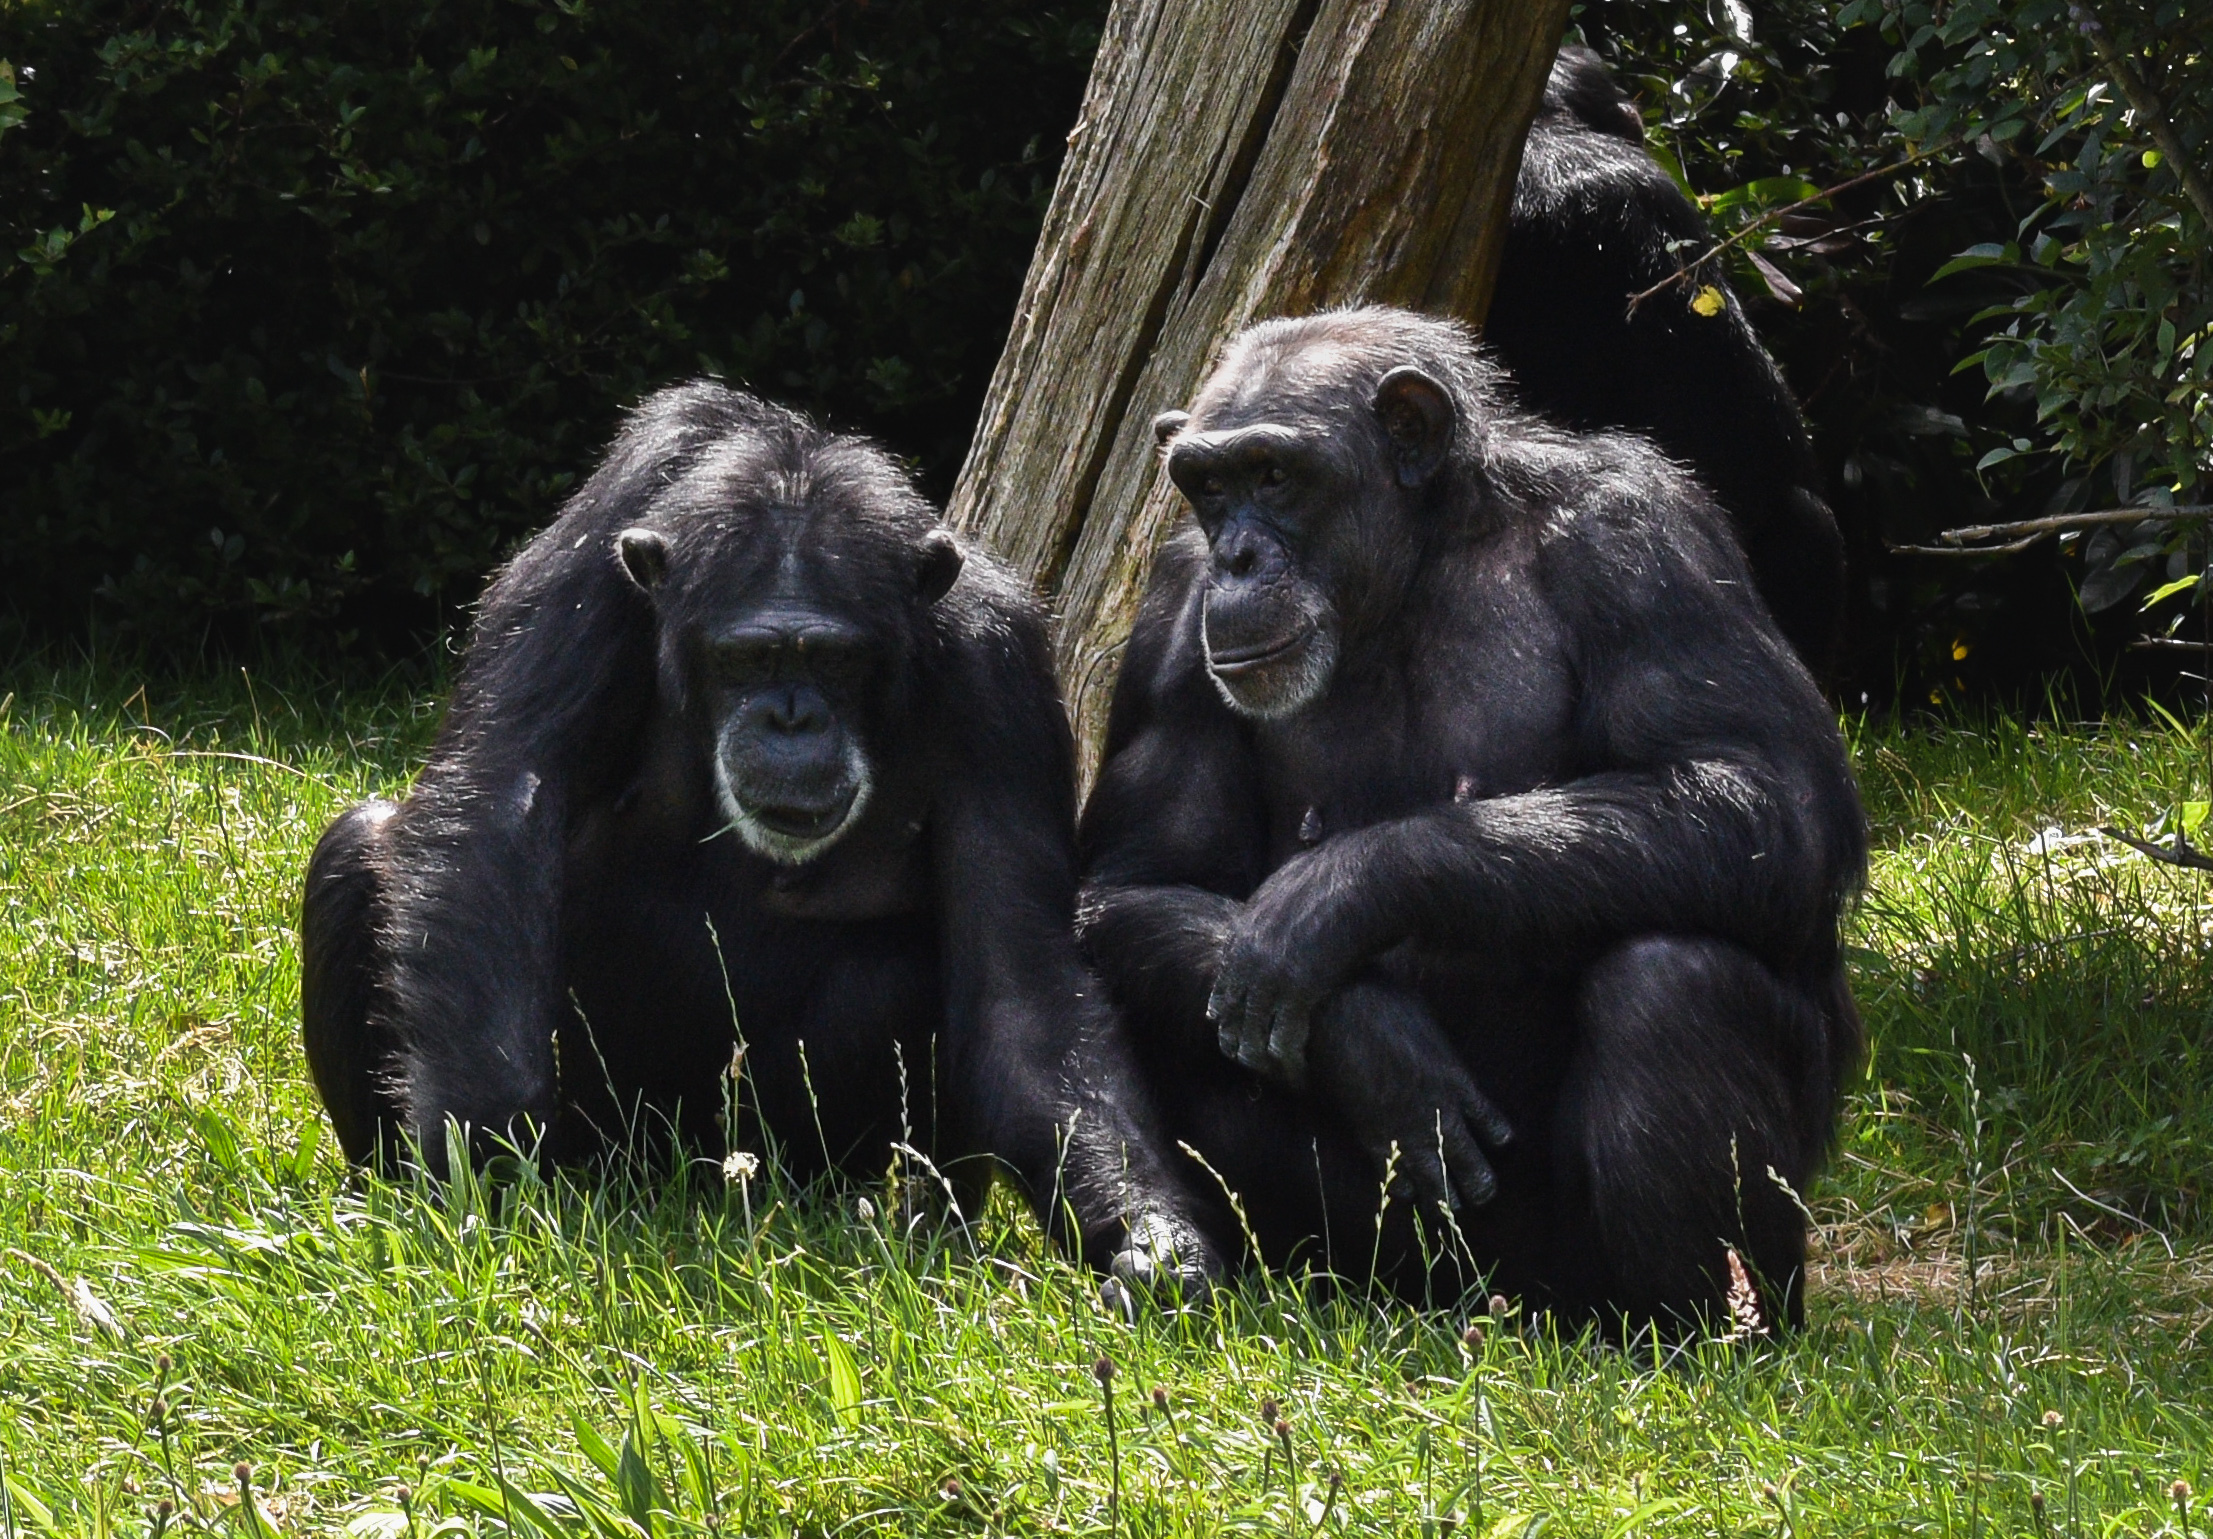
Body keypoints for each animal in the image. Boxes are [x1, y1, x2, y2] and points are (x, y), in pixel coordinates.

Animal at [303, 383, 1221, 1284]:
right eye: (745, 658)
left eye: (834, 659)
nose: (791, 717)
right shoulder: (585, 570)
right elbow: (501, 795)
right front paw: (486, 1177)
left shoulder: (1001, 674)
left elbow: (1019, 983)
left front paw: (1153, 1238)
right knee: (359, 846)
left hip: (747, 1158)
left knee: (902, 978)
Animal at [1075, 307, 1867, 1328]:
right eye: (1208, 487)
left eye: (1273, 475)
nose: (1236, 557)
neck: (1412, 567)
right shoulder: (1174, 615)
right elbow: (1141, 881)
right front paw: (1369, 1040)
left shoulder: (1640, 538)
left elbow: (1761, 789)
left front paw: (1341, 893)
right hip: (1418, 1263)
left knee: (1674, 979)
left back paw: (1704, 1336)